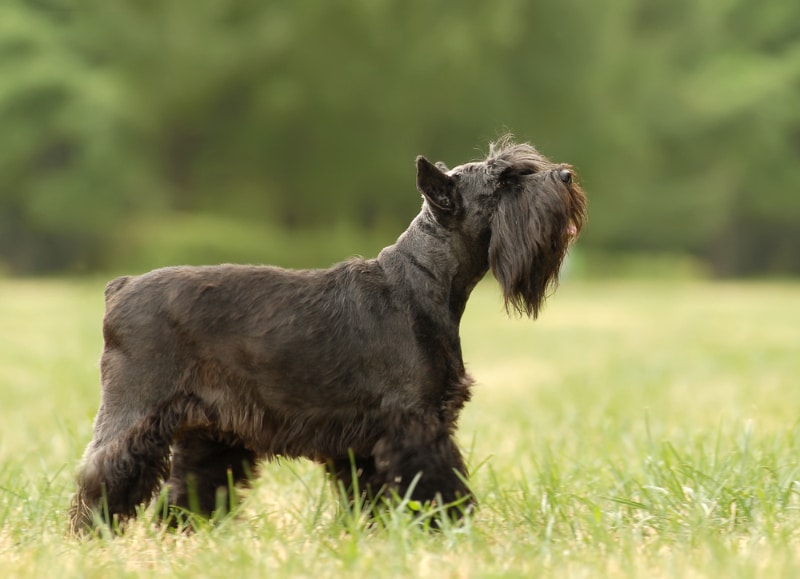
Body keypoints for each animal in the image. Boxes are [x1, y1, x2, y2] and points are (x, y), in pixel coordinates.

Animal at [69, 136, 588, 536]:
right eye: (504, 182)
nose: (564, 176)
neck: (421, 279)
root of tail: (120, 288)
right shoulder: (415, 421)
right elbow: (437, 483)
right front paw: (448, 529)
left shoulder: (365, 440)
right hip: (137, 410)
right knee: (102, 470)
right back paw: (92, 534)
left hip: (210, 431)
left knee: (188, 487)